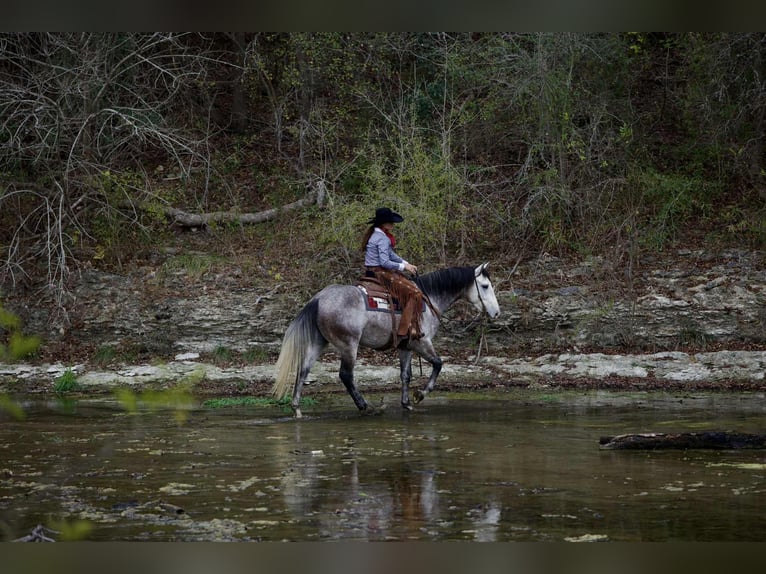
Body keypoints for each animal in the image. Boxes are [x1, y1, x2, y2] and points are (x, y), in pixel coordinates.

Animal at [271, 263, 501, 418]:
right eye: (485, 285)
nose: (496, 313)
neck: (428, 299)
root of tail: (318, 298)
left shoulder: (405, 347)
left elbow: (405, 375)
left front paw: (407, 403)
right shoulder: (422, 343)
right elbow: (438, 364)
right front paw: (420, 395)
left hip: (318, 343)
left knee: (303, 370)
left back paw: (297, 409)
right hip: (348, 345)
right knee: (346, 375)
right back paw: (366, 406)